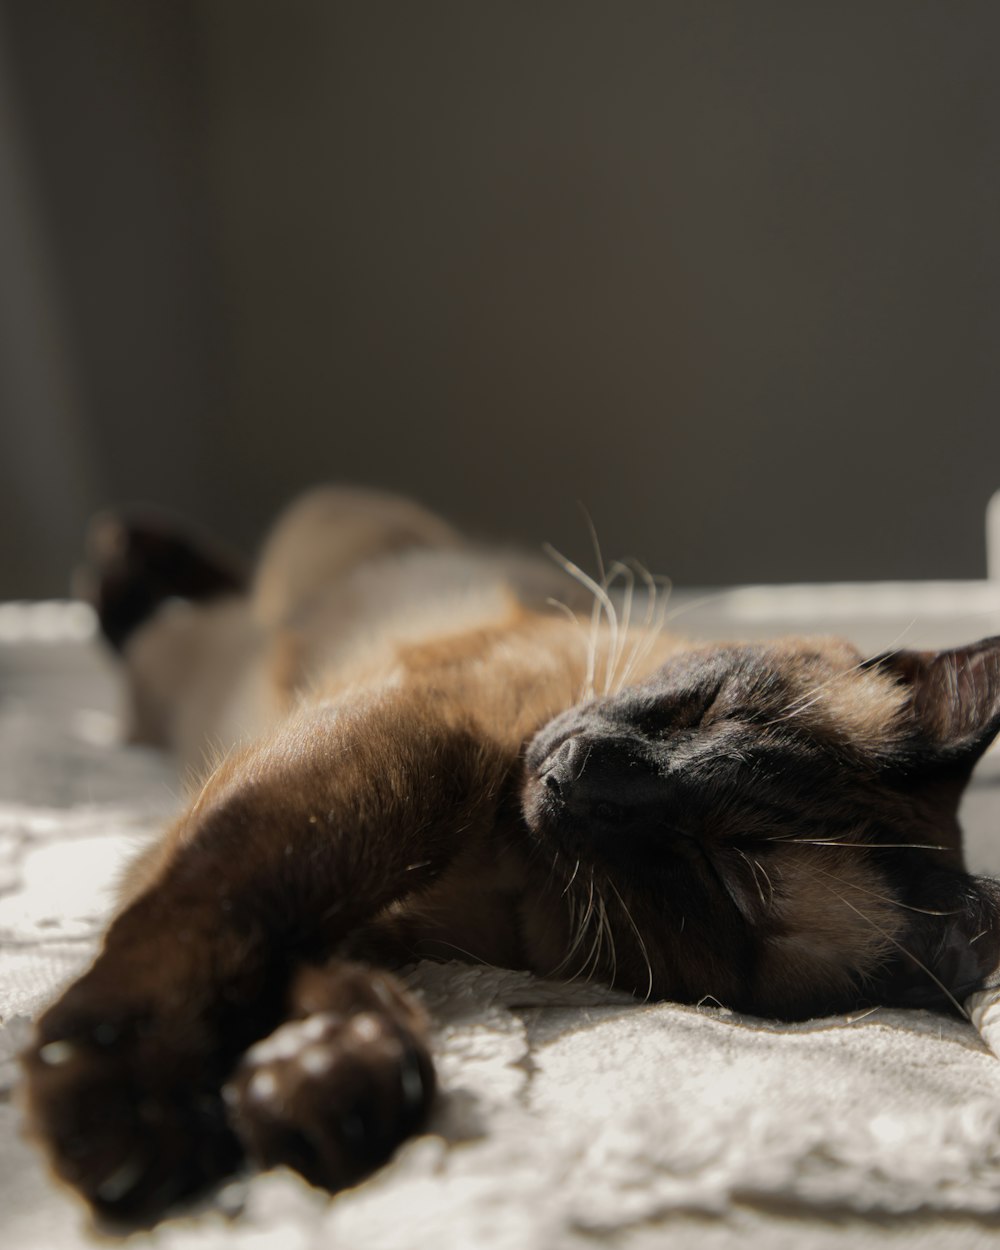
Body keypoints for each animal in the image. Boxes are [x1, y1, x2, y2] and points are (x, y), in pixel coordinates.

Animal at [17, 485, 1000, 1220]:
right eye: (708, 708)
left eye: (719, 874)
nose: (579, 773)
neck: (511, 873)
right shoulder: (416, 753)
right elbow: (236, 899)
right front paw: (121, 1105)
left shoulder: (389, 923)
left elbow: (312, 970)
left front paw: (322, 1081)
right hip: (266, 603)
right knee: (190, 600)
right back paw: (130, 545)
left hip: (192, 680)